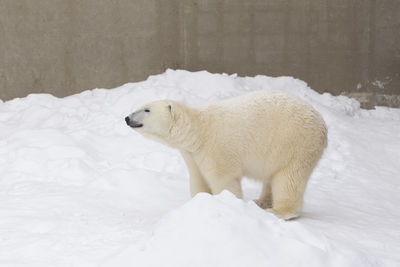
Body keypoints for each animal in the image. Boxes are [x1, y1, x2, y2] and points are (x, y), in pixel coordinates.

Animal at [126, 90, 328, 220]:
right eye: (141, 106)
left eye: (147, 110)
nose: (127, 118)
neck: (198, 131)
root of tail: (323, 125)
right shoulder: (192, 154)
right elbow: (198, 178)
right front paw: (198, 202)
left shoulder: (217, 148)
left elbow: (223, 180)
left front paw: (227, 203)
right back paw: (261, 202)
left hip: (295, 144)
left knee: (289, 178)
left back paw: (279, 211)